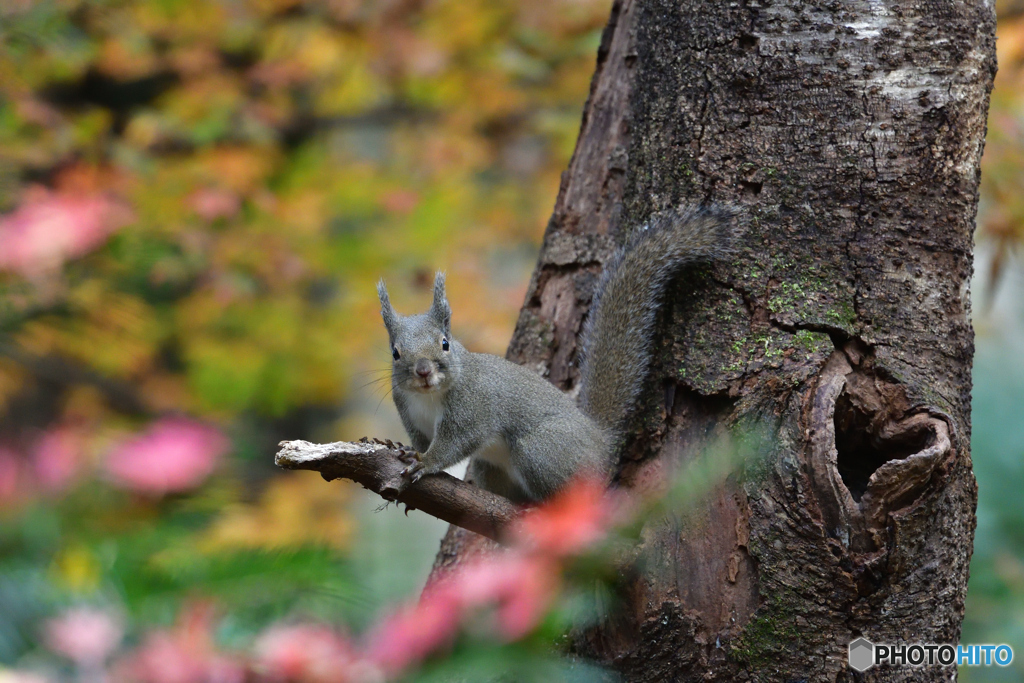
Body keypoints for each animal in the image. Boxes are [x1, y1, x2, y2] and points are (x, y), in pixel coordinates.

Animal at [374, 205, 737, 505]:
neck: (429, 396)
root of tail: (599, 442)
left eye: (445, 343)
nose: (423, 370)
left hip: (543, 450)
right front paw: (405, 449)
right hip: (491, 466)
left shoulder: (471, 407)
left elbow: (454, 443)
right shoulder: (409, 413)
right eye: (395, 352)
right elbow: (421, 439)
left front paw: (425, 462)